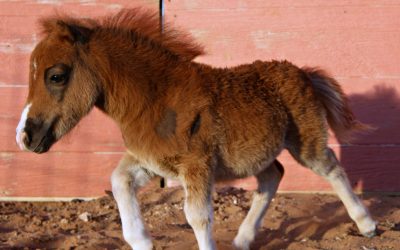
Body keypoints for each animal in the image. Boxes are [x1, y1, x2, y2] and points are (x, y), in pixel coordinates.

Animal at [15, 8, 376, 250]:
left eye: (56, 75)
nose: (25, 137)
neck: (156, 99)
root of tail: (302, 71)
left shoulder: (196, 166)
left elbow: (198, 217)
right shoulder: (151, 162)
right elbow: (118, 181)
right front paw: (141, 240)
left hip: (306, 142)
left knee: (330, 167)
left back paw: (368, 225)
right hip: (257, 153)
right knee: (273, 176)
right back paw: (243, 239)